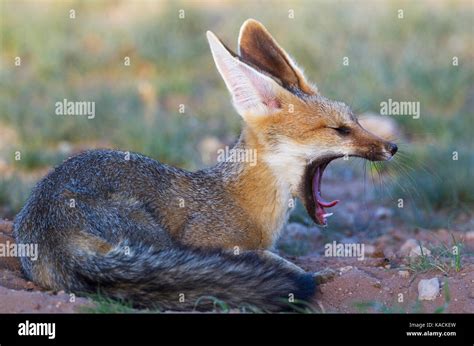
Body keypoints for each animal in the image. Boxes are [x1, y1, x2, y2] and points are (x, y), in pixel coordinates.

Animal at [12, 18, 398, 310]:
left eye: (354, 120)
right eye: (340, 130)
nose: (392, 147)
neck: (244, 200)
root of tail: (51, 229)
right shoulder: (212, 243)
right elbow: (267, 259)